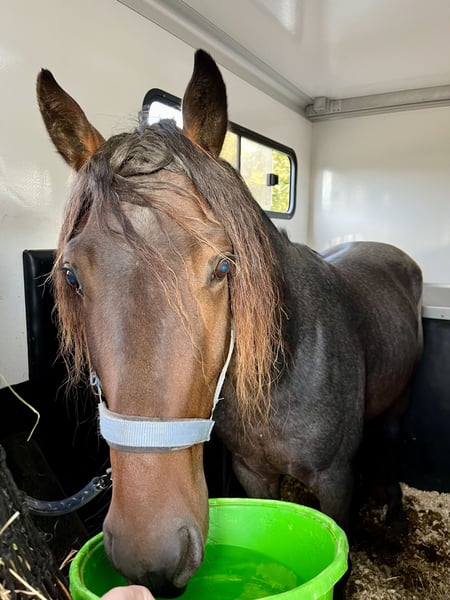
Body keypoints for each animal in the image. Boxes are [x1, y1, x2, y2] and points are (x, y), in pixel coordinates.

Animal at [36, 50, 423, 597]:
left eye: (223, 266)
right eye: (70, 274)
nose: (150, 551)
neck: (286, 373)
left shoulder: (335, 481)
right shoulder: (253, 472)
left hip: (400, 400)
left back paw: (394, 512)